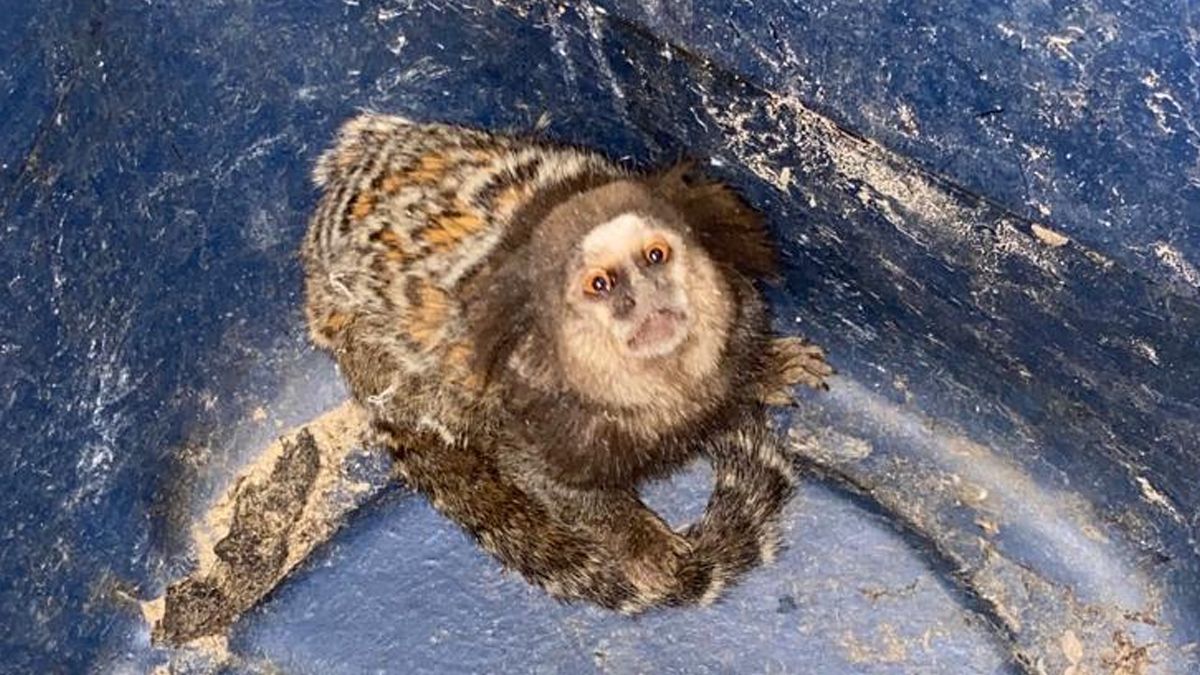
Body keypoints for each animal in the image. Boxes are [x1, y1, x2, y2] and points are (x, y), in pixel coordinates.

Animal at [300, 112, 832, 612]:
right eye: (601, 284)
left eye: (655, 256)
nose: (645, 298)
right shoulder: (533, 416)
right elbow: (547, 482)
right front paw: (640, 540)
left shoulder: (739, 317)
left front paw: (766, 368)